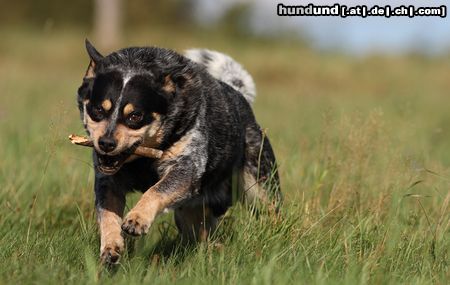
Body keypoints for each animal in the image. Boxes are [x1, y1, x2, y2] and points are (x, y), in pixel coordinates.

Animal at [77, 40, 282, 264]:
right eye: (98, 110)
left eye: (135, 116)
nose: (106, 143)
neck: (141, 160)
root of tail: (240, 96)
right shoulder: (108, 181)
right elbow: (107, 214)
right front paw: (111, 247)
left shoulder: (186, 168)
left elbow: (155, 190)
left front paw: (136, 219)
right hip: (190, 212)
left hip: (260, 182)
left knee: (271, 208)